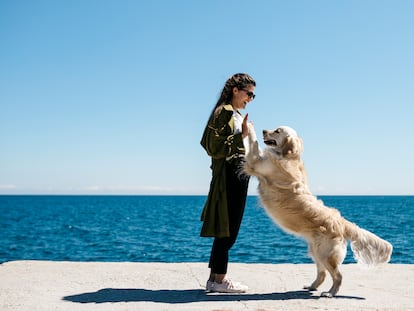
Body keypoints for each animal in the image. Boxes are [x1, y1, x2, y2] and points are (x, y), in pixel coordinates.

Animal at [244, 125, 392, 298]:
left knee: (338, 276)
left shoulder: (256, 162)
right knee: (322, 274)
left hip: (325, 254)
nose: (264, 131)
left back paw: (330, 293)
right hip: (316, 251)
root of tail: (341, 222)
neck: (290, 156)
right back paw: (312, 286)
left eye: (277, 131)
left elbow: (252, 142)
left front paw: (248, 125)